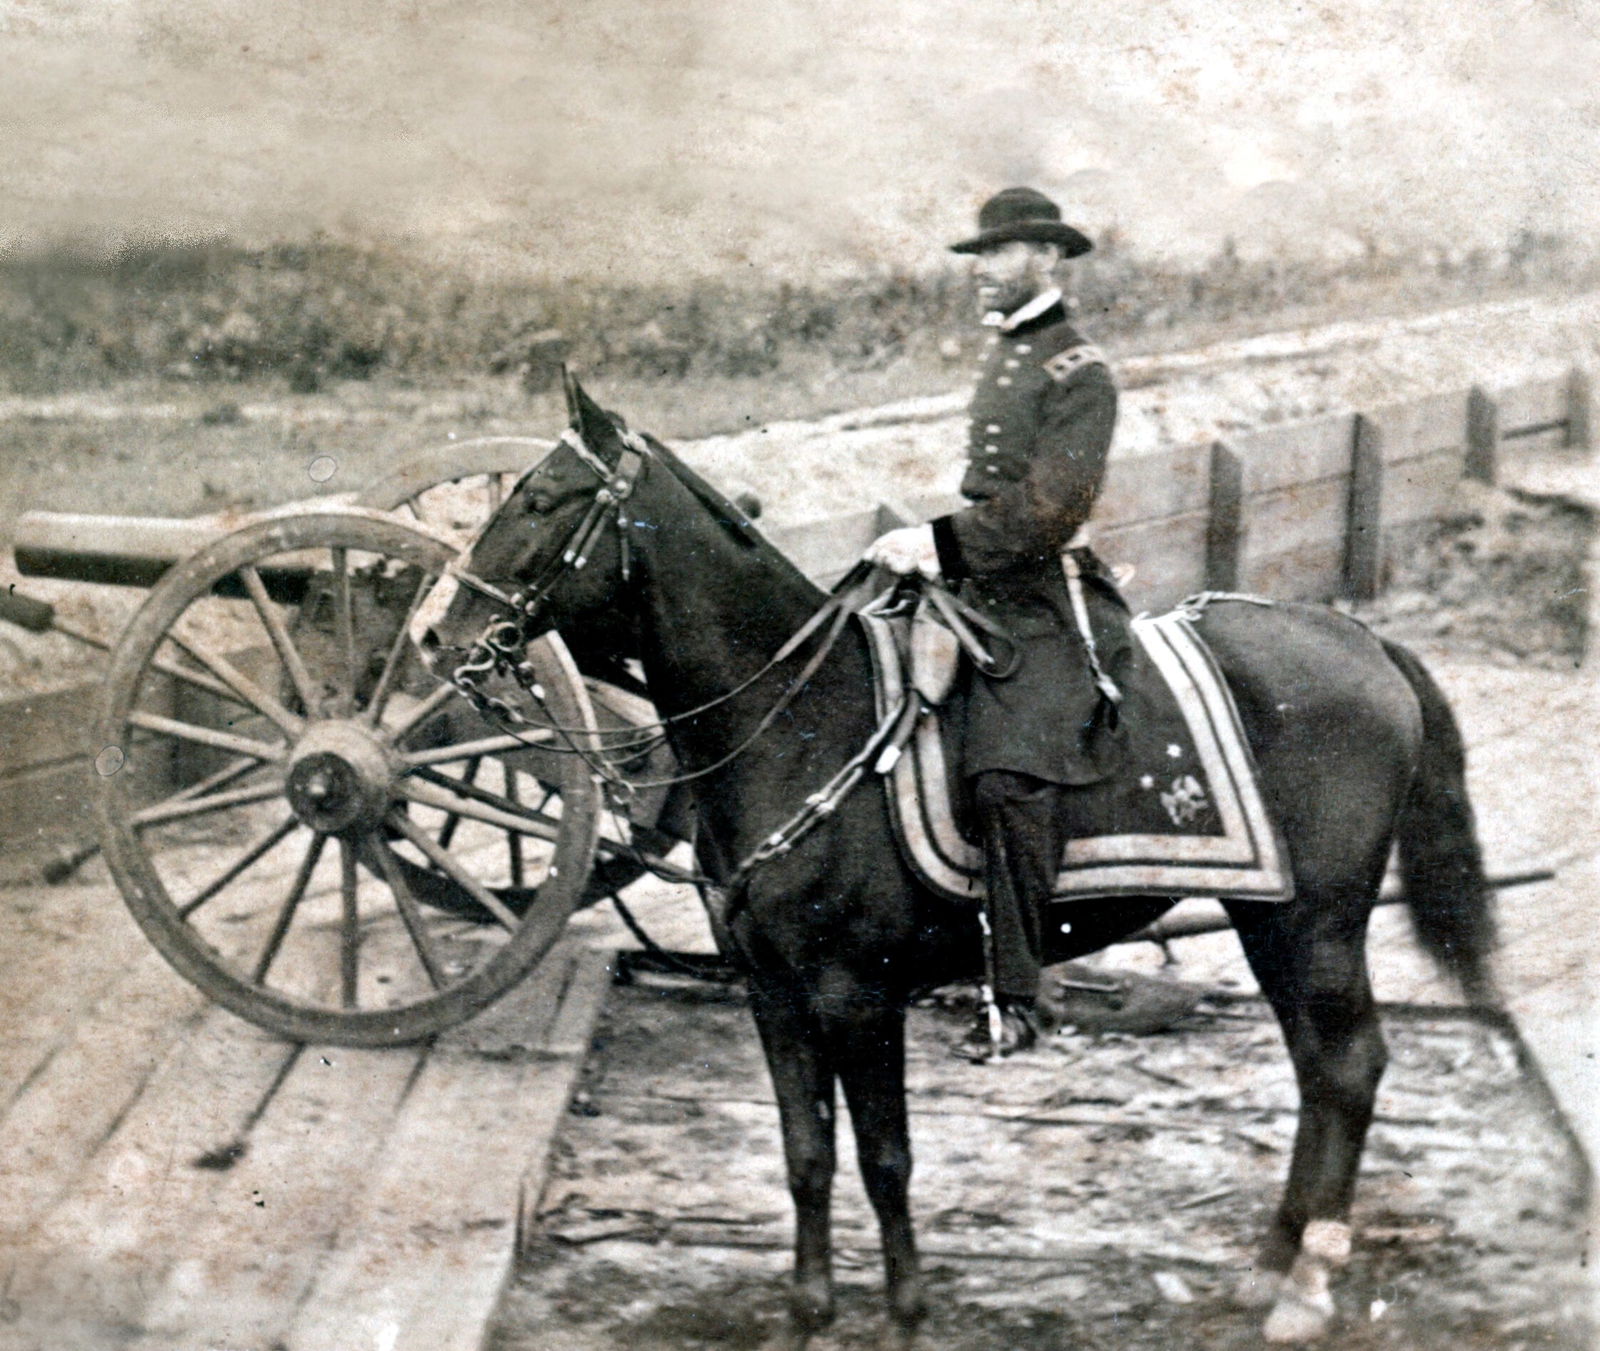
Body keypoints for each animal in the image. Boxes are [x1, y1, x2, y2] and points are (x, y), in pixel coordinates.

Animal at [415, 375, 1497, 1347]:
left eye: (541, 500)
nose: (434, 632)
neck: (801, 723)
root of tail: (1363, 640)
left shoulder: (859, 993)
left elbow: (884, 1157)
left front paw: (901, 1315)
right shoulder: (771, 990)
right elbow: (807, 1154)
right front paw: (807, 1315)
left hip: (1316, 922)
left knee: (1349, 1064)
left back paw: (1305, 1284)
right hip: (1270, 917)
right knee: (1317, 1068)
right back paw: (1274, 1262)